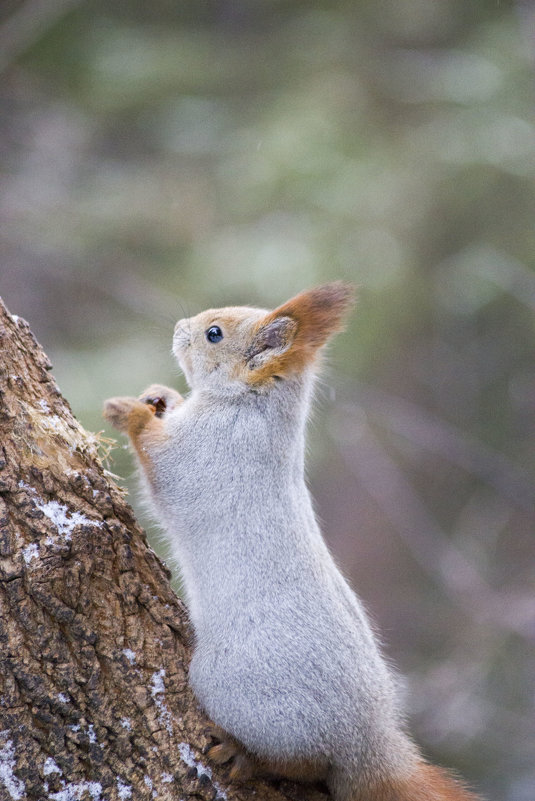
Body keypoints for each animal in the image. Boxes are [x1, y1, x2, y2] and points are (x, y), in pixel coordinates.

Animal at [103, 282, 482, 800]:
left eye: (214, 334)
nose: (180, 329)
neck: (248, 404)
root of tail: (365, 744)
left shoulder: (205, 453)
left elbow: (160, 458)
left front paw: (131, 413)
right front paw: (160, 396)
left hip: (240, 691)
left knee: (302, 763)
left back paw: (244, 756)